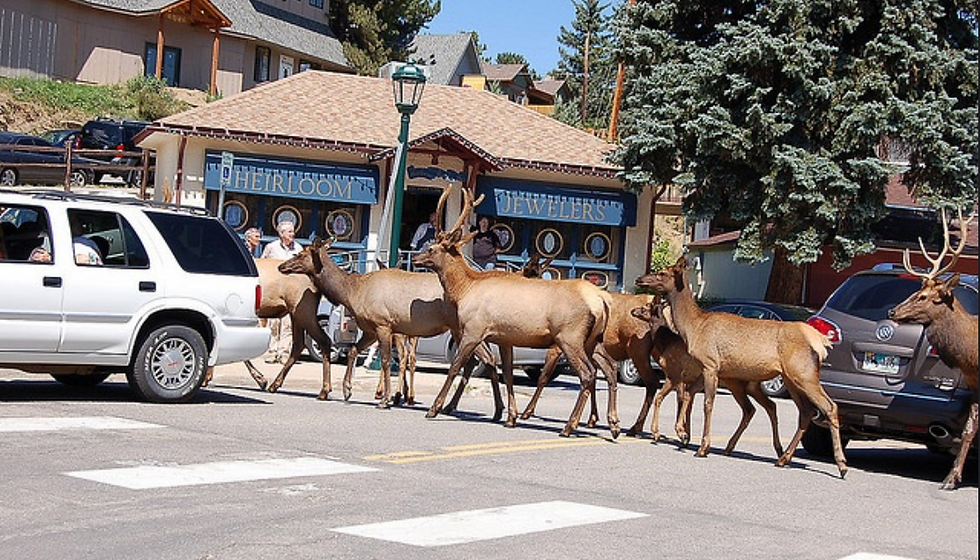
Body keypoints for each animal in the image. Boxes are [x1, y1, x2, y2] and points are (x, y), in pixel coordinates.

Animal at [278, 237, 503, 412]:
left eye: (300, 254)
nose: (281, 266)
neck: (351, 293)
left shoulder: (383, 324)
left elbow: (385, 361)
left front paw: (385, 399)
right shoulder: (370, 329)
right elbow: (353, 350)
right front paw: (347, 389)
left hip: (463, 329)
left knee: (481, 359)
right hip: (464, 331)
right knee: (484, 359)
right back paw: (475, 408)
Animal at [412, 185, 618, 438]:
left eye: (431, 248)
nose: (415, 256)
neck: (464, 289)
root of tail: (602, 299)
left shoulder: (473, 329)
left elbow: (455, 367)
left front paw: (434, 408)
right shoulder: (504, 338)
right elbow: (508, 375)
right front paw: (510, 416)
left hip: (570, 337)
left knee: (588, 374)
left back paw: (570, 426)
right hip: (592, 340)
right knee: (607, 369)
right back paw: (611, 425)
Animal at [636, 256, 847, 477]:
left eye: (663, 272)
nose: (640, 279)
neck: (693, 327)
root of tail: (822, 342)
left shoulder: (710, 364)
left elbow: (707, 403)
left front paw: (702, 446)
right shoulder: (707, 368)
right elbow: (688, 395)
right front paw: (682, 433)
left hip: (803, 374)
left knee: (829, 406)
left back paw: (841, 465)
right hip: (791, 378)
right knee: (805, 411)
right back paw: (783, 458)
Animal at [889, 208, 977, 490]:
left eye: (924, 297)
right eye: (918, 291)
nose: (892, 311)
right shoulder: (975, 385)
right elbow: (970, 429)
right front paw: (951, 478)